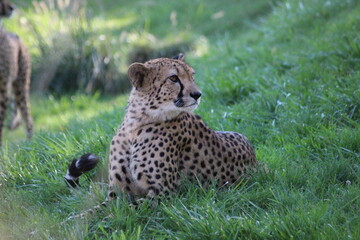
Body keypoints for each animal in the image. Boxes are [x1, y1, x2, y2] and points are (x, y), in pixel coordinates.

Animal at [66, 54, 258, 208]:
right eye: (173, 78)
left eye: (192, 75)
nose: (197, 94)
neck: (135, 125)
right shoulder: (117, 194)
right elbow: (93, 211)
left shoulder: (163, 193)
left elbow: (122, 210)